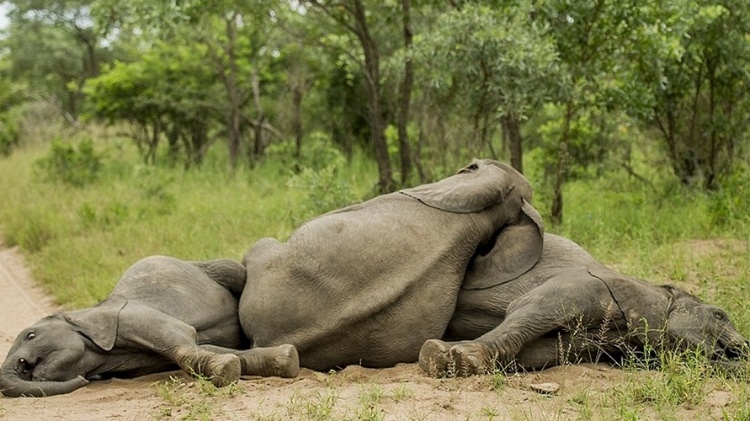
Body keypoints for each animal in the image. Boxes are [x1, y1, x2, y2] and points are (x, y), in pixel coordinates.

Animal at [0, 254, 300, 396]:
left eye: (31, 335)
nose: (85, 381)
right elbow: (214, 349)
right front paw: (284, 359)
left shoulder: (132, 316)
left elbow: (182, 341)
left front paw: (226, 369)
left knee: (235, 271)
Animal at [420, 235, 748, 376]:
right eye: (719, 315)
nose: (744, 346)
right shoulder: (585, 285)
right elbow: (528, 311)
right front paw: (441, 357)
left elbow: (545, 352)